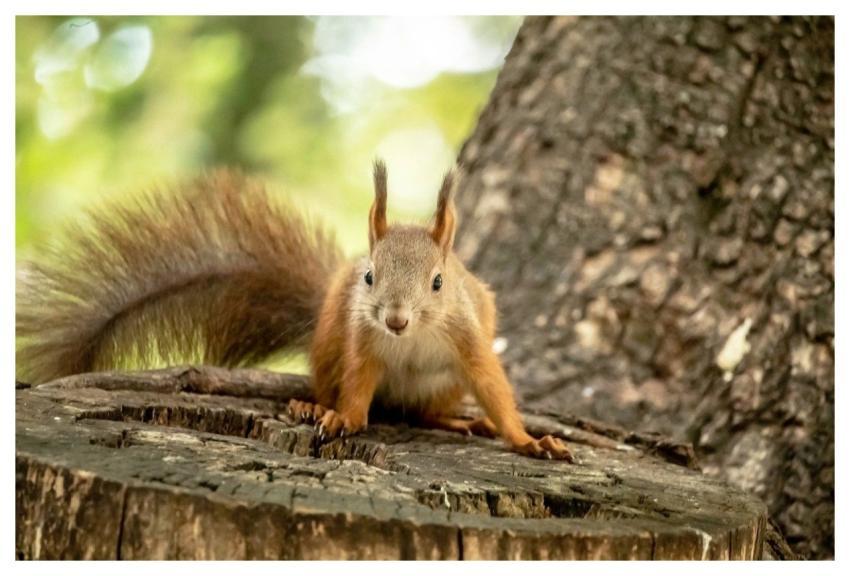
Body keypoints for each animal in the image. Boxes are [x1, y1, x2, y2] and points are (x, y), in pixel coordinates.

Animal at [16, 162, 572, 461]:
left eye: (439, 282)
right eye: (368, 276)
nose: (395, 320)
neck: (409, 338)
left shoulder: (469, 340)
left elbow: (495, 389)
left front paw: (529, 441)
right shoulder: (362, 342)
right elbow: (358, 386)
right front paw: (342, 418)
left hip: (443, 385)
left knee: (422, 413)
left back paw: (456, 422)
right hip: (328, 346)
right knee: (339, 388)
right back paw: (312, 406)